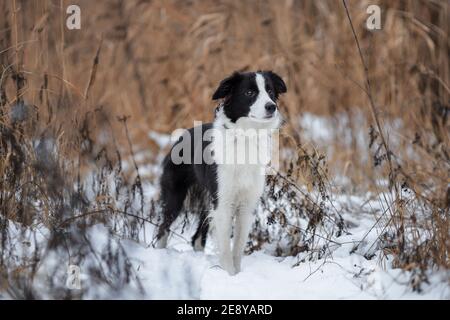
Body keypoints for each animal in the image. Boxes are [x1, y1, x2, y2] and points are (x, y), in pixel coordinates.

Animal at [156, 70, 286, 276]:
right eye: (249, 93)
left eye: (270, 91)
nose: (271, 107)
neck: (245, 137)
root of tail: (180, 138)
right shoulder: (223, 203)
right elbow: (225, 247)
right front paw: (230, 275)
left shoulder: (246, 205)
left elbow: (238, 247)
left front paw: (238, 274)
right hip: (175, 196)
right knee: (163, 228)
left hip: (208, 201)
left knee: (196, 239)